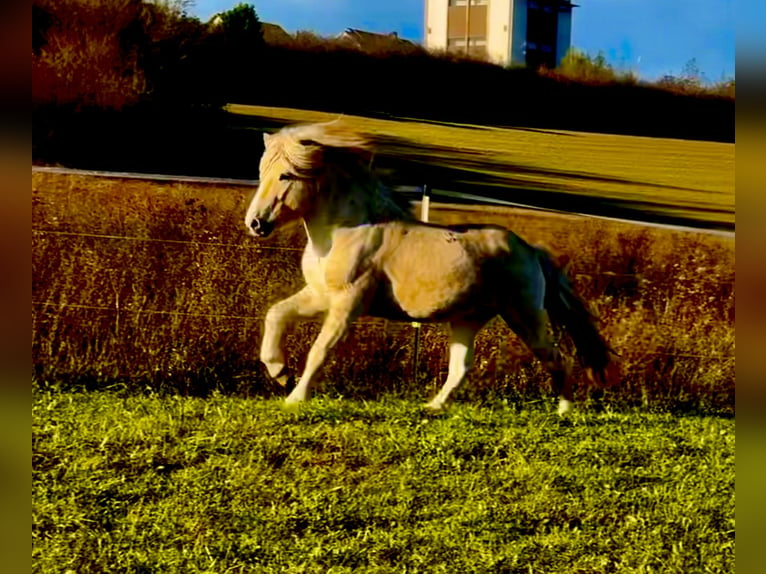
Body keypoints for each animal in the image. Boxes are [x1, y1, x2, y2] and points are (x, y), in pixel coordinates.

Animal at [246, 122, 616, 418]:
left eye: (286, 175)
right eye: (262, 172)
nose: (255, 223)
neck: (345, 231)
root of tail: (531, 251)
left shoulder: (347, 304)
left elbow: (320, 351)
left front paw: (294, 397)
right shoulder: (320, 296)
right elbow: (276, 314)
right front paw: (279, 372)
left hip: (524, 317)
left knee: (557, 358)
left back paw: (565, 411)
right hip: (468, 319)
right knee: (461, 367)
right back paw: (433, 406)